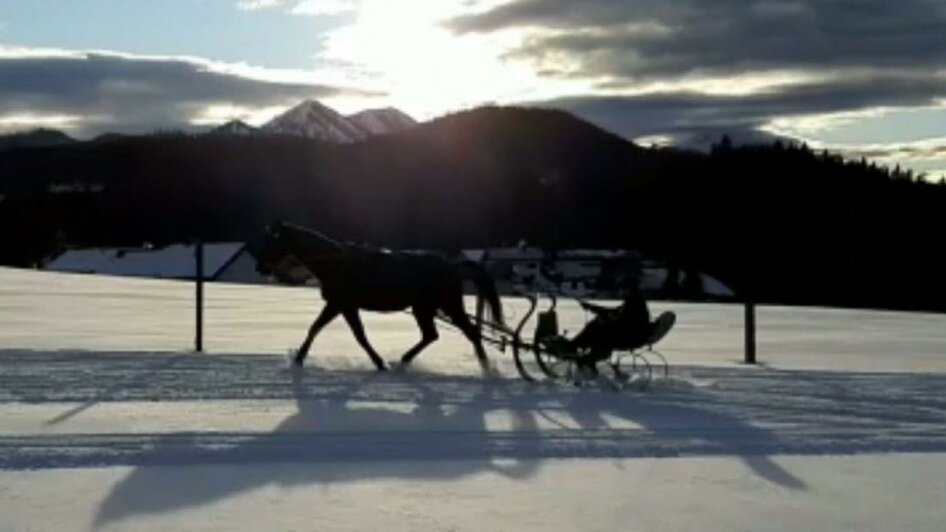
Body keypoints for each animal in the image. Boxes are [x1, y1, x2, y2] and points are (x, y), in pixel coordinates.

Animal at [251, 222, 502, 372]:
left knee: (471, 333)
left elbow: (351, 334)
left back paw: (487, 368)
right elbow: (328, 329)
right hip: (423, 308)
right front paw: (299, 358)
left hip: (448, 305)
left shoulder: (341, 304)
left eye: (271, 240)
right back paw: (404, 360)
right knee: (431, 335)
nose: (260, 267)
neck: (335, 263)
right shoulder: (342, 305)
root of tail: (452, 265)